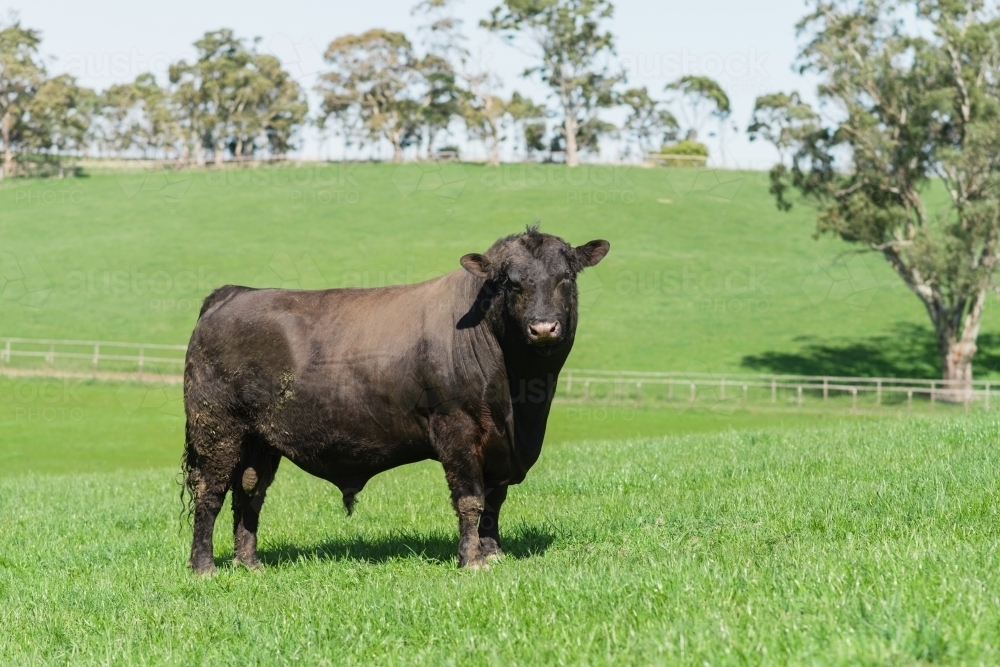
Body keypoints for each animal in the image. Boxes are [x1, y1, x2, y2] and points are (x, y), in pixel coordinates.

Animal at [184, 228, 612, 568]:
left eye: (565, 278)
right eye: (510, 282)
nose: (543, 328)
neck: (520, 404)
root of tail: (232, 294)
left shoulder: (500, 445)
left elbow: (494, 500)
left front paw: (493, 553)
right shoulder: (457, 429)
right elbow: (470, 500)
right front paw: (471, 560)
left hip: (259, 440)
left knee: (249, 494)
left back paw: (249, 563)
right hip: (217, 430)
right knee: (209, 492)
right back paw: (204, 565)